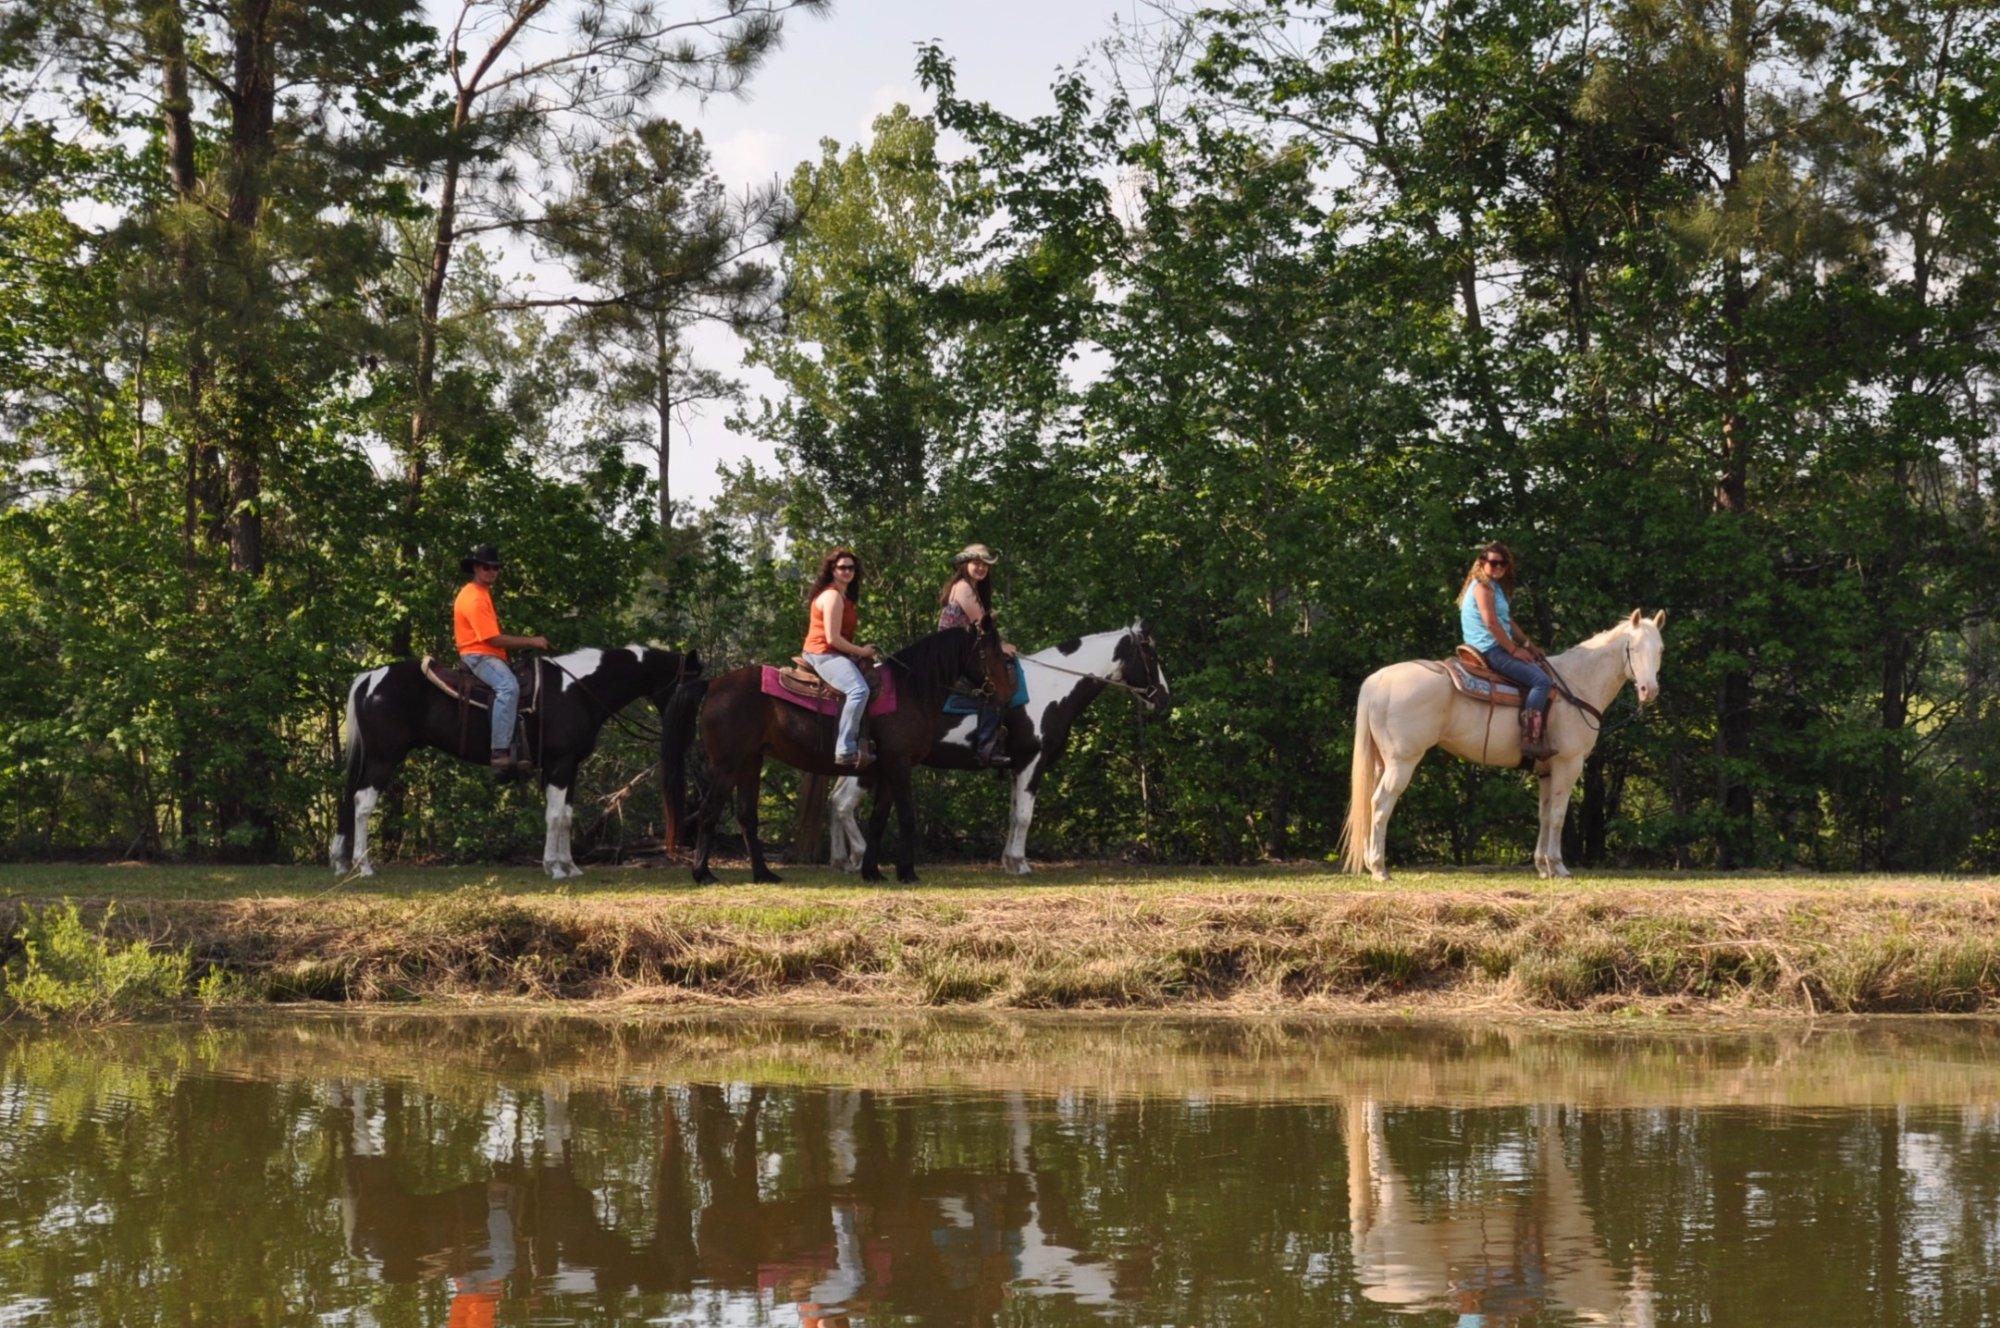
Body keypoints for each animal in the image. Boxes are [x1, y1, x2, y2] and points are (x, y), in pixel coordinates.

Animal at [332, 644, 700, 876]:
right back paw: (364, 866)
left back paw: (340, 861)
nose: (693, 730)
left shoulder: (570, 766)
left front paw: (570, 866)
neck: (579, 690)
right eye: (694, 683)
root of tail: (370, 677)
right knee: (363, 803)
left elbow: (566, 816)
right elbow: (555, 816)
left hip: (371, 757)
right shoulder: (559, 764)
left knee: (348, 799)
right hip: (384, 757)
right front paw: (555, 868)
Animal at [672, 620, 1016, 880]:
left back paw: (764, 874)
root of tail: (714, 684)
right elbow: (907, 816)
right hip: (727, 764)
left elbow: (878, 820)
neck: (911, 691)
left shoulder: (885, 770)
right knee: (709, 811)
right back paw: (703, 873)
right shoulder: (899, 764)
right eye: (989, 652)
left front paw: (873, 872)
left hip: (750, 762)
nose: (1007, 693)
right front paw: (907, 872)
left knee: (746, 816)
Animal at [828, 620, 1168, 872]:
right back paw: (858, 858)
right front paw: (1020, 863)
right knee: (843, 804)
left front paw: (1009, 861)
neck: (1052, 688)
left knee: (834, 800)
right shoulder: (1033, 760)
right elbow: (1025, 815)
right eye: (1151, 657)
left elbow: (1014, 813)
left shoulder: (1017, 765)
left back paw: (842, 860)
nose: (1164, 697)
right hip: (873, 766)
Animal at [1344, 612, 1672, 880]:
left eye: (1660, 650)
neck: (1575, 686)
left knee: (1371, 801)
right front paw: (1559, 867)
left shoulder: (1546, 770)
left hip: (1382, 762)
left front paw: (1543, 867)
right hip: (1402, 761)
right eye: (1633, 648)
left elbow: (1544, 814)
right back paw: (1380, 869)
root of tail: (1379, 680)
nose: (1649, 690)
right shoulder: (1568, 764)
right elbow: (1558, 815)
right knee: (1381, 804)